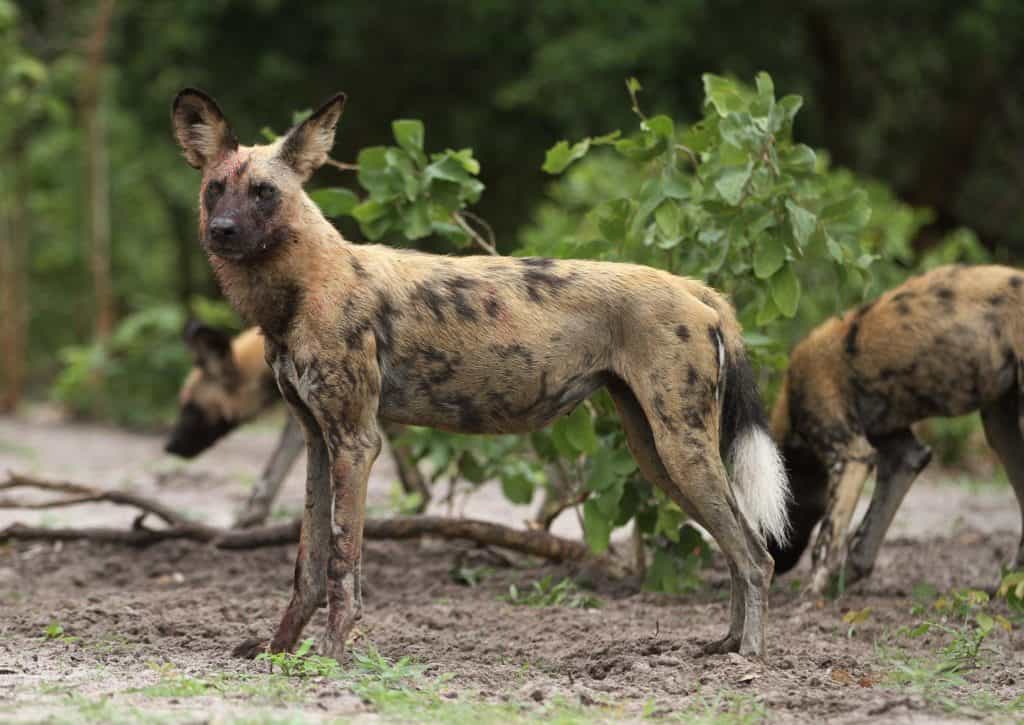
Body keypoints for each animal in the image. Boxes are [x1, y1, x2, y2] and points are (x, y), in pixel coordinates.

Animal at [770, 264, 1024, 593]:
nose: (776, 566)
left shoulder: (851, 456)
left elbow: (825, 543)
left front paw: (811, 595)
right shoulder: (901, 454)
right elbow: (862, 544)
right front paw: (840, 583)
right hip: (999, 425)